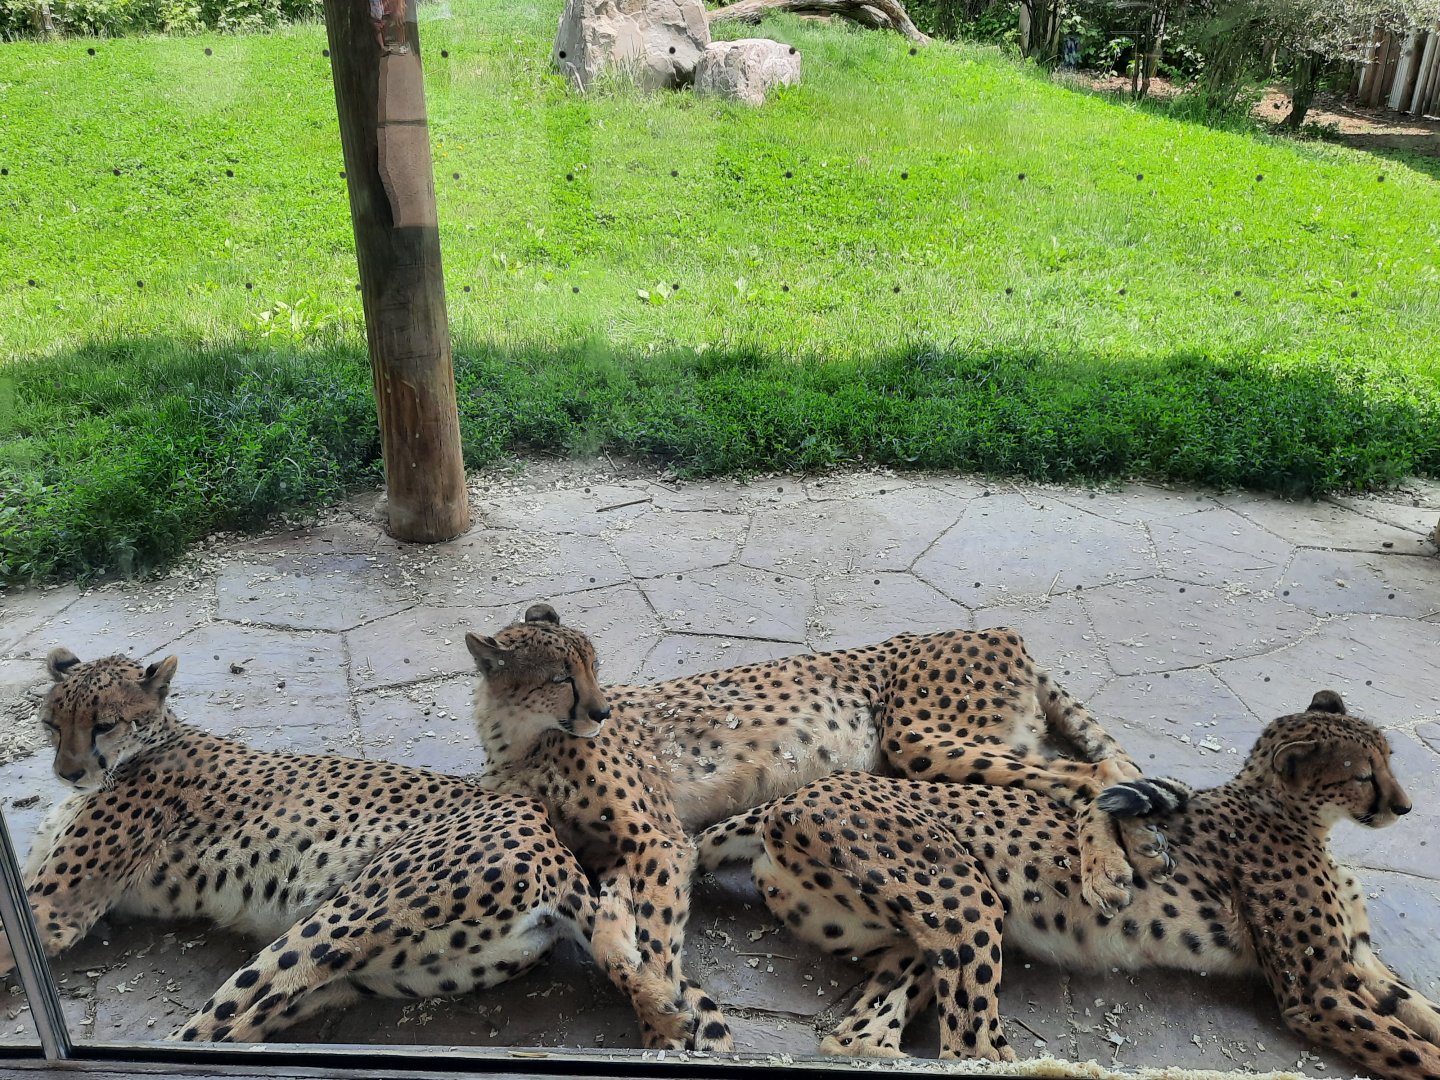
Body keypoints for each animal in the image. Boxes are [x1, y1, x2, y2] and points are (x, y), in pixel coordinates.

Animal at [0, 648, 676, 1045]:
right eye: (51, 724)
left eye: (104, 723)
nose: (66, 771)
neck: (151, 741)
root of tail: (549, 840)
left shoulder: (52, 912)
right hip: (376, 975)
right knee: (242, 1026)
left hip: (331, 926)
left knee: (212, 1027)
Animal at [466, 603, 1160, 1053]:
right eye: (562, 677)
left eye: (593, 665)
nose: (601, 709)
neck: (520, 742)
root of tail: (997, 630)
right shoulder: (616, 855)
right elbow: (613, 930)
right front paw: (653, 1001)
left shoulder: (659, 838)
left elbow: (656, 933)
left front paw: (660, 1022)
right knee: (1103, 770)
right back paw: (1147, 845)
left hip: (921, 739)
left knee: (1088, 775)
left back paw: (1112, 872)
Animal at [694, 689, 1440, 1080]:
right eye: (1363, 773)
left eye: (1388, 760)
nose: (1405, 807)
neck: (1296, 815)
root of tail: (800, 792)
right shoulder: (1317, 992)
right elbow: (1408, 1047)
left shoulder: (1358, 964)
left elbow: (1421, 1011)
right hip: (967, 900)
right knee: (971, 1045)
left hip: (915, 935)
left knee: (857, 1036)